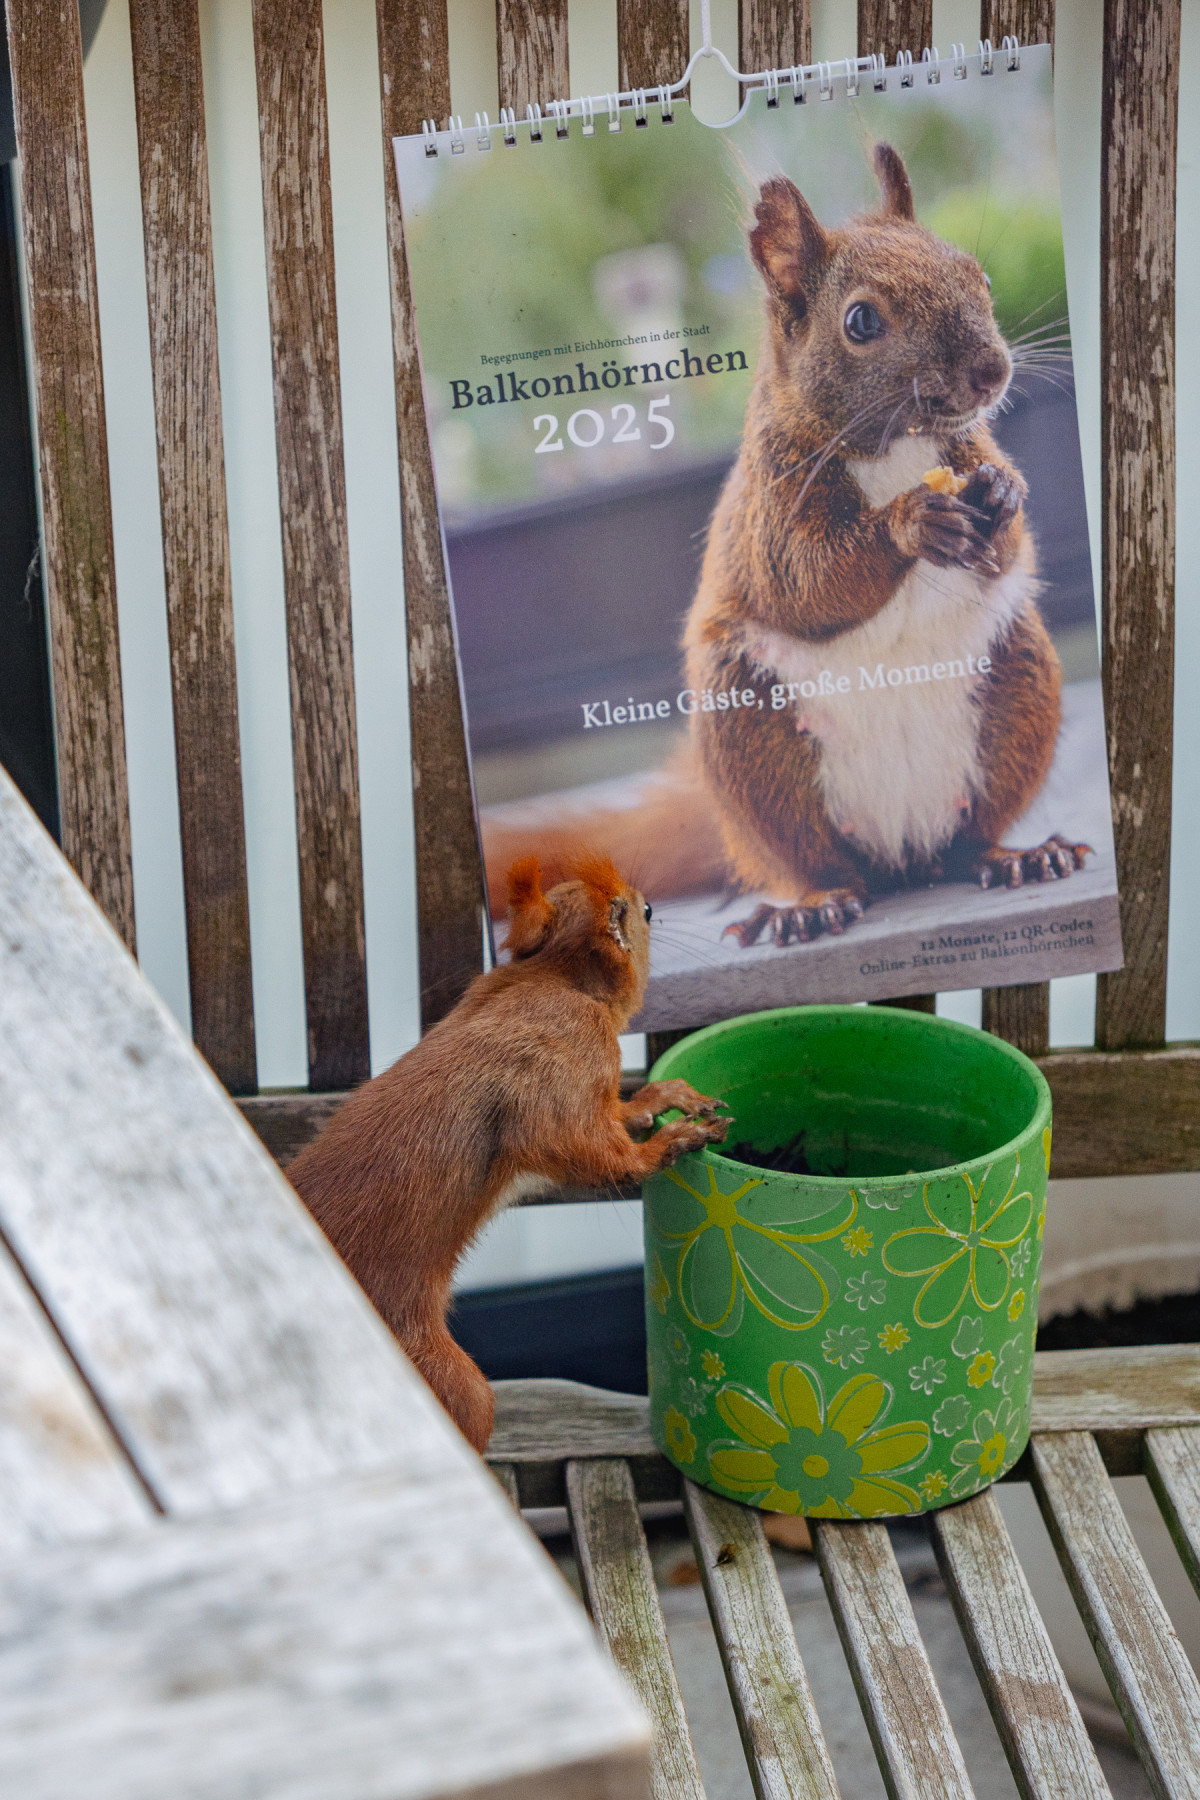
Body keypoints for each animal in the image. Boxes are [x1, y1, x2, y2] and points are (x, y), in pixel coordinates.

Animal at [286, 849, 726, 1454]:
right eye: (646, 911)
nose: (650, 901)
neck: (550, 977)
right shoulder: (570, 1060)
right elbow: (588, 1147)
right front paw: (671, 1140)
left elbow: (614, 1116)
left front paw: (661, 1098)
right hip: (444, 1377)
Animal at [478, 147, 1086, 950]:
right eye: (860, 320)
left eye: (978, 275)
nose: (992, 373)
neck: (897, 447)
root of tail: (903, 849)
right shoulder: (769, 510)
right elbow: (808, 583)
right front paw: (909, 522)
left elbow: (1005, 545)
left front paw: (1001, 492)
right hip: (754, 746)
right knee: (820, 862)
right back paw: (814, 904)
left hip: (1018, 686)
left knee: (969, 840)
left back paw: (1013, 856)